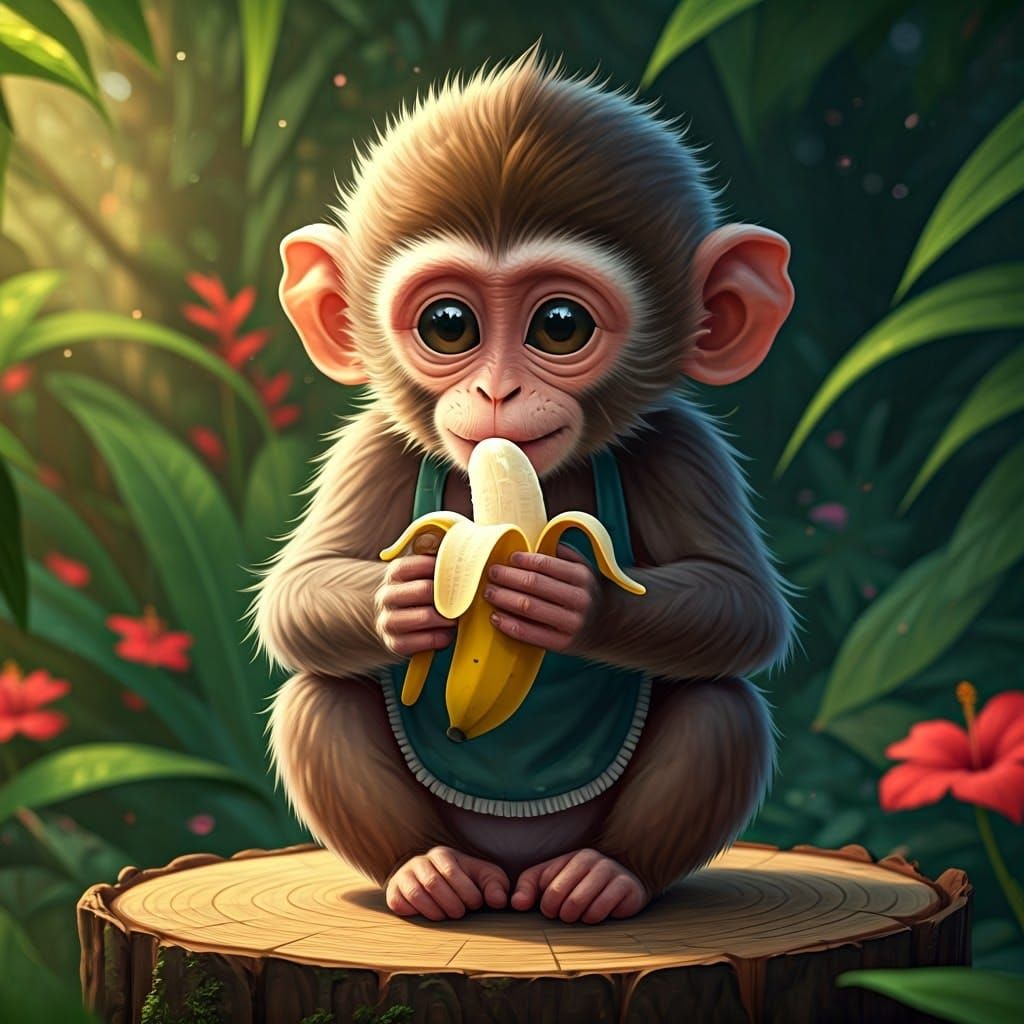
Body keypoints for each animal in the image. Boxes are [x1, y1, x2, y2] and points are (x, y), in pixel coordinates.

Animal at [253, 46, 795, 926]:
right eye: (449, 325)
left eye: (560, 326)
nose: (498, 392)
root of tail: (512, 875)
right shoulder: (370, 449)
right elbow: (297, 594)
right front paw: (405, 597)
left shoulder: (685, 448)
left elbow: (744, 605)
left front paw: (571, 597)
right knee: (318, 696)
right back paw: (425, 872)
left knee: (721, 703)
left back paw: (605, 878)